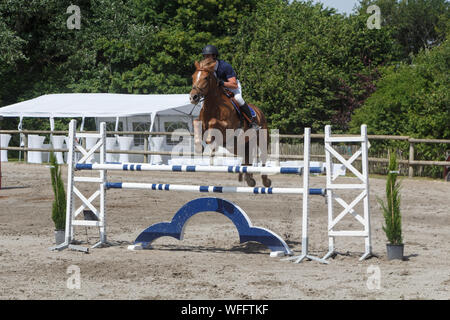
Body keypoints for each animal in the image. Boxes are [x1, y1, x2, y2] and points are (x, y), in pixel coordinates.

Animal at [189, 57, 272, 188]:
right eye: (193, 76)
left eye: (206, 77)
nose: (193, 97)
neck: (213, 106)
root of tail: (259, 112)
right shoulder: (201, 122)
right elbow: (196, 123)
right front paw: (198, 146)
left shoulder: (228, 127)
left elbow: (213, 122)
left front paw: (209, 139)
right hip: (238, 145)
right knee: (247, 158)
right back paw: (250, 179)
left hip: (262, 139)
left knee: (263, 157)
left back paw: (265, 181)